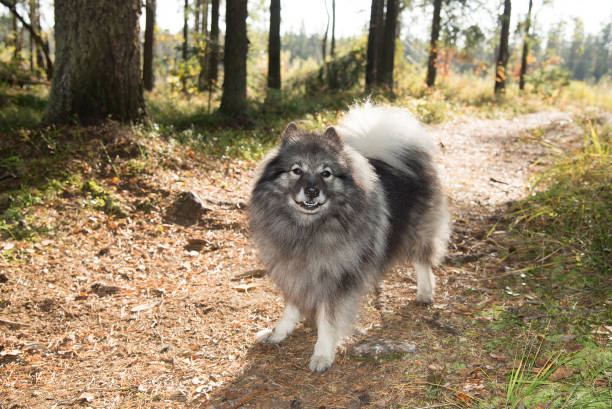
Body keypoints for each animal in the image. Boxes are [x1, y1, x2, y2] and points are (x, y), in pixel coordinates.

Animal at [249, 103, 450, 372]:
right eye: (296, 170)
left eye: (326, 173)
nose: (311, 191)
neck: (308, 228)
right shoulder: (293, 271)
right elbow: (291, 308)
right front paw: (278, 333)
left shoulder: (337, 279)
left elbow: (328, 321)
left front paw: (322, 353)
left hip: (418, 231)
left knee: (422, 262)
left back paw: (425, 293)